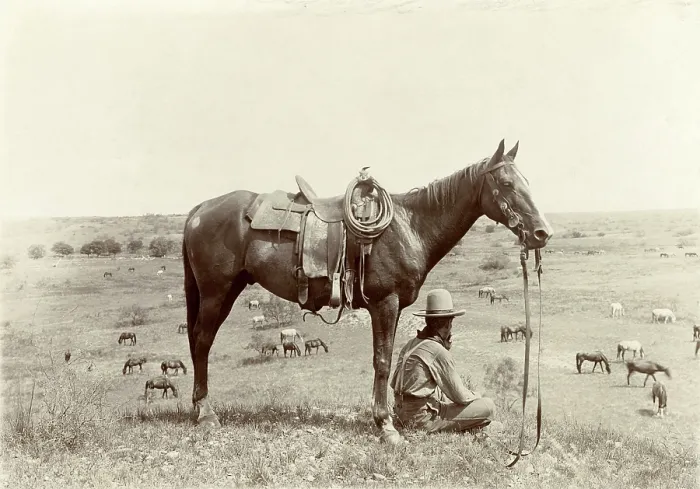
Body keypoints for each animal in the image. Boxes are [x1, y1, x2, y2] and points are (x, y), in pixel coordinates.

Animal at [180, 139, 552, 443]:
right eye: (507, 183)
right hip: (216, 292)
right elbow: (383, 361)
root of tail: (199, 210)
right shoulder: (385, 303)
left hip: (228, 291)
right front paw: (385, 426)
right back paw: (206, 413)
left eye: (527, 182)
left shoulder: (395, 306)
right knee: (202, 341)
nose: (541, 233)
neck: (410, 226)